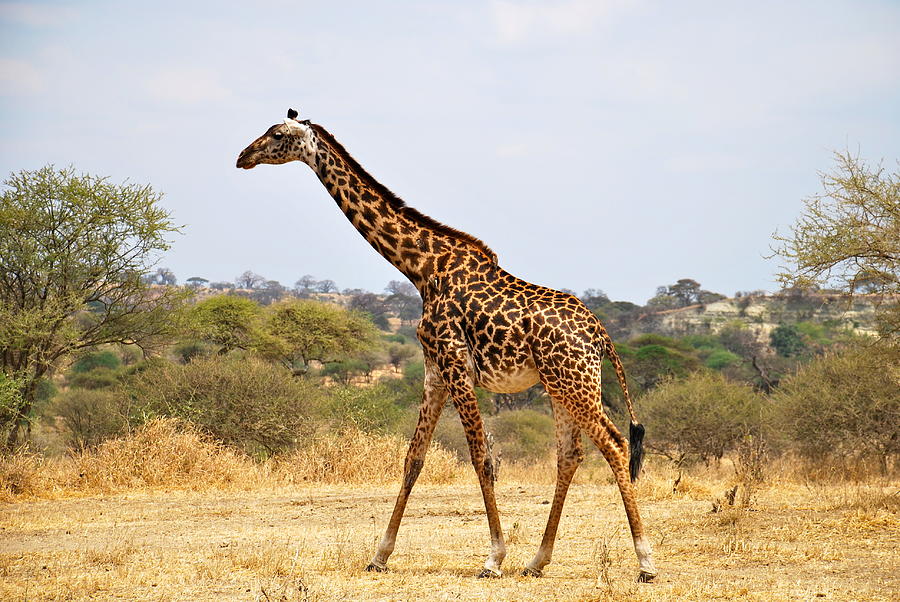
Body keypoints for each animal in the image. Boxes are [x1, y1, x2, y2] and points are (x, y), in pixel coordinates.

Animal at [236, 109, 656, 580]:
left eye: (277, 135)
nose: (242, 156)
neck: (422, 268)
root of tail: (600, 333)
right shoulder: (434, 370)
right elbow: (413, 458)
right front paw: (379, 555)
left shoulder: (455, 364)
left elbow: (481, 457)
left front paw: (493, 558)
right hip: (561, 384)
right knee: (570, 454)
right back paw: (537, 561)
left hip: (573, 382)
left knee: (614, 444)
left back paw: (645, 561)